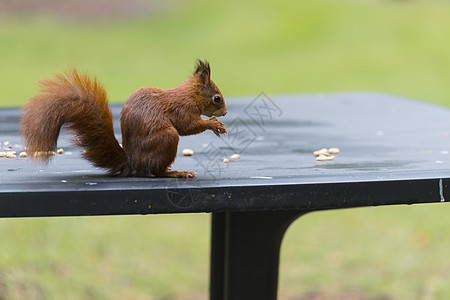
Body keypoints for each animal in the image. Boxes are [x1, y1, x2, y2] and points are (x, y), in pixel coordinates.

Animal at [19, 61, 227, 178]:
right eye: (217, 98)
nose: (225, 112)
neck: (190, 95)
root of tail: (132, 162)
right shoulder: (183, 109)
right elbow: (187, 126)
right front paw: (214, 124)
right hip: (167, 137)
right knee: (157, 171)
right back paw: (175, 172)